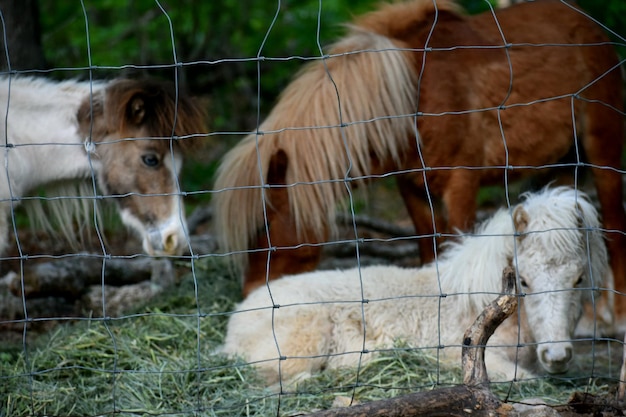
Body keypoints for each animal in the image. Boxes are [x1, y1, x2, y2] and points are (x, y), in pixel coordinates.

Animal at [212, 0, 620, 318]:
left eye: (265, 226)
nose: (250, 297)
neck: (413, 98)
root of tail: (588, 22)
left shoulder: (461, 184)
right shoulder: (412, 188)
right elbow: (429, 252)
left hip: (602, 146)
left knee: (614, 226)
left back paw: (614, 317)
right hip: (564, 166)